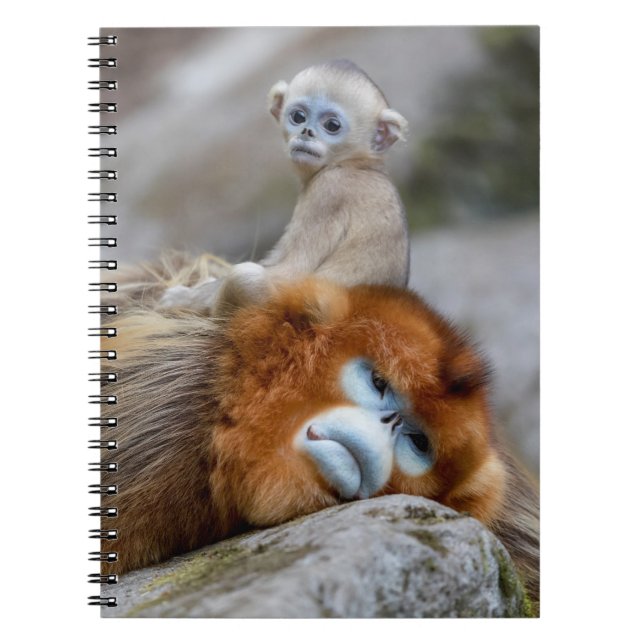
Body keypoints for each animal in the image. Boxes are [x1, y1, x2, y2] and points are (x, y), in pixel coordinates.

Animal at [158, 60, 409, 313]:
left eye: (332, 125)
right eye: (298, 116)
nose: (306, 132)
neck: (358, 164)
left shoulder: (329, 191)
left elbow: (291, 273)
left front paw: (185, 299)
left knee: (245, 276)